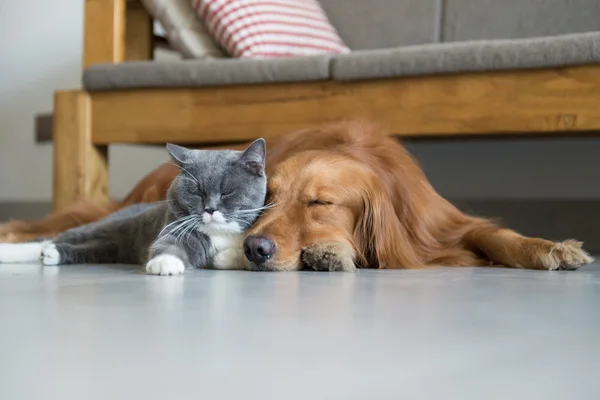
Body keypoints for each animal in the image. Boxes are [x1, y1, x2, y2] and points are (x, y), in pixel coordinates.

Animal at [0, 140, 268, 276]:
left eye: (227, 192)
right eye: (196, 192)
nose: (210, 209)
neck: (218, 234)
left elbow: (235, 255)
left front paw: (226, 256)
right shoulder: (173, 229)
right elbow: (167, 245)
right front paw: (165, 263)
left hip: (112, 248)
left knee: (81, 247)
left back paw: (52, 255)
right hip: (106, 226)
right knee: (53, 238)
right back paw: (15, 252)